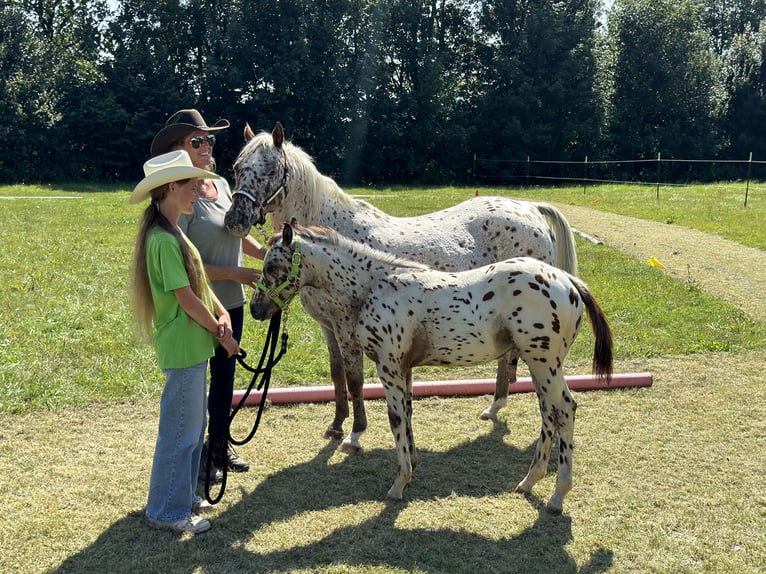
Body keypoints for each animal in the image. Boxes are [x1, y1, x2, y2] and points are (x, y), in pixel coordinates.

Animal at [225, 122, 580, 454]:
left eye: (270, 170)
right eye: (237, 167)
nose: (235, 220)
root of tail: (530, 208)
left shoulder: (347, 328)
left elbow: (355, 379)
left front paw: (355, 434)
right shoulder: (328, 326)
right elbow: (337, 374)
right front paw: (337, 425)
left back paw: (497, 407)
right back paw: (494, 408)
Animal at [252, 223, 612, 516]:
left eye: (272, 265)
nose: (256, 309)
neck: (374, 287)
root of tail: (569, 281)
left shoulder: (388, 366)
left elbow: (395, 418)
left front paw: (398, 484)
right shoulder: (405, 368)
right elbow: (408, 413)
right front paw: (413, 463)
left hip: (544, 363)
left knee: (565, 409)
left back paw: (557, 497)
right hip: (539, 366)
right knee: (549, 413)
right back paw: (528, 482)